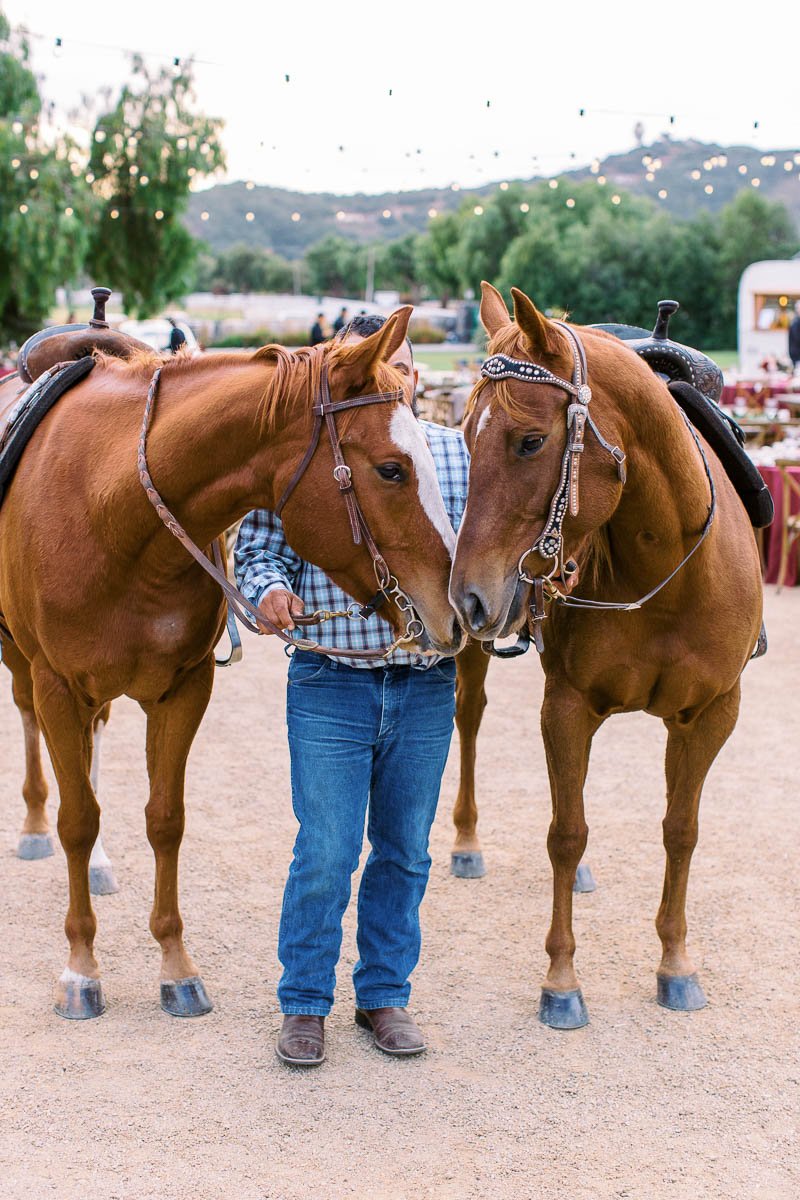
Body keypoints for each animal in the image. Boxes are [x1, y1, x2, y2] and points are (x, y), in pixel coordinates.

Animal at [0, 304, 460, 1017]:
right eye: (391, 470)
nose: (452, 607)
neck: (111, 509)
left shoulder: (184, 690)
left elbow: (166, 820)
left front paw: (175, 965)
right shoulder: (57, 685)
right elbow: (76, 819)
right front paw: (80, 969)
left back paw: (100, 864)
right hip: (24, 665)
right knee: (32, 730)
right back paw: (32, 827)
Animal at [450, 283, 762, 1032]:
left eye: (531, 440)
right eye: (465, 435)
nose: (467, 593)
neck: (672, 565)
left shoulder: (713, 714)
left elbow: (681, 831)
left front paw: (676, 965)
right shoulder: (566, 707)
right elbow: (567, 833)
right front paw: (562, 981)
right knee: (469, 720)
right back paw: (466, 844)